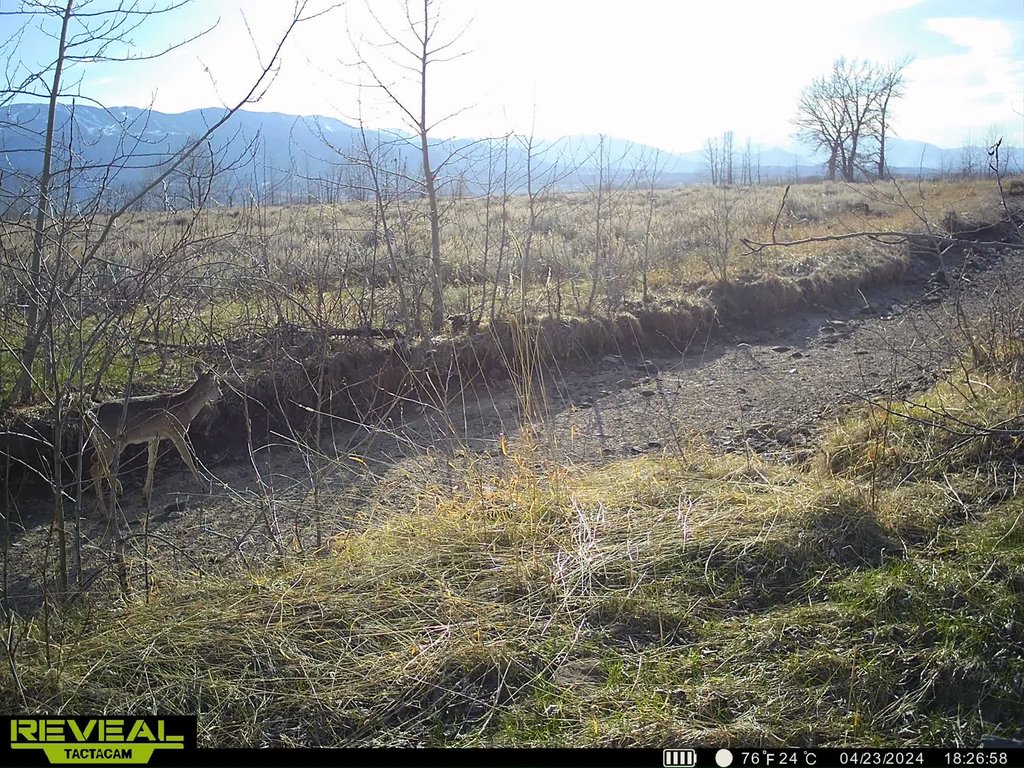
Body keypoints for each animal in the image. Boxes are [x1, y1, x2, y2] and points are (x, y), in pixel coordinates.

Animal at [90, 362, 221, 516]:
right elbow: (187, 457)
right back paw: (104, 510)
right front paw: (204, 486)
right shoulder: (175, 430)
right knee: (95, 469)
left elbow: (151, 462)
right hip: (112, 441)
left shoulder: (154, 436)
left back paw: (117, 491)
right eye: (217, 383)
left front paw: (145, 495)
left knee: (96, 462)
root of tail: (93, 416)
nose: (221, 395)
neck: (186, 407)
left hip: (103, 443)